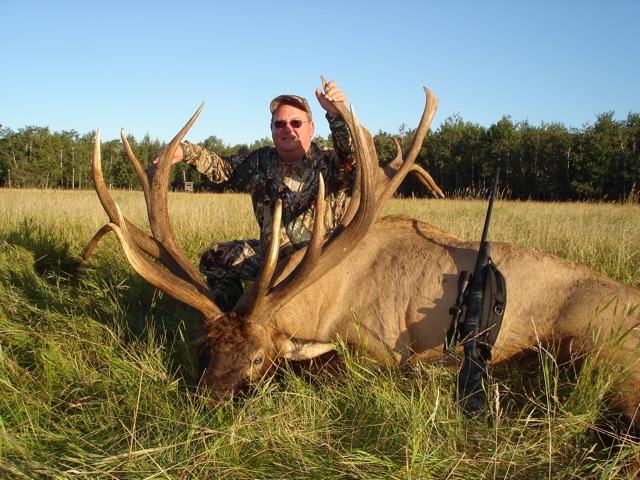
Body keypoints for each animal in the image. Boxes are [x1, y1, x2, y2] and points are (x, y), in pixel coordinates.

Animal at [82, 80, 640, 434]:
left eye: (257, 358)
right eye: (203, 349)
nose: (207, 403)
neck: (323, 301)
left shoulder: (380, 349)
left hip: (600, 354)